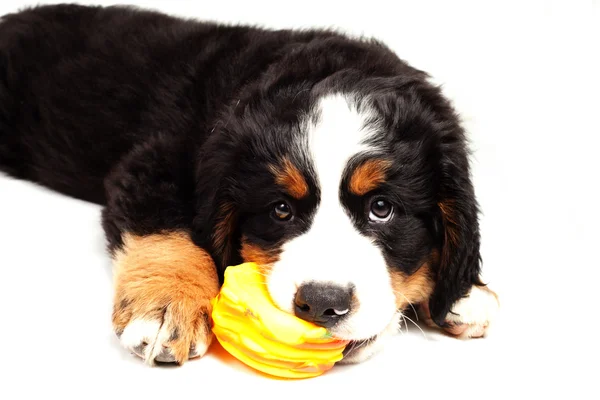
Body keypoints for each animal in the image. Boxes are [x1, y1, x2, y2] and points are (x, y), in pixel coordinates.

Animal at [0, 3, 496, 366]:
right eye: (280, 209)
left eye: (382, 208)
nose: (323, 303)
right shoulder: (155, 160)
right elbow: (168, 232)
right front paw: (166, 306)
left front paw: (464, 294)